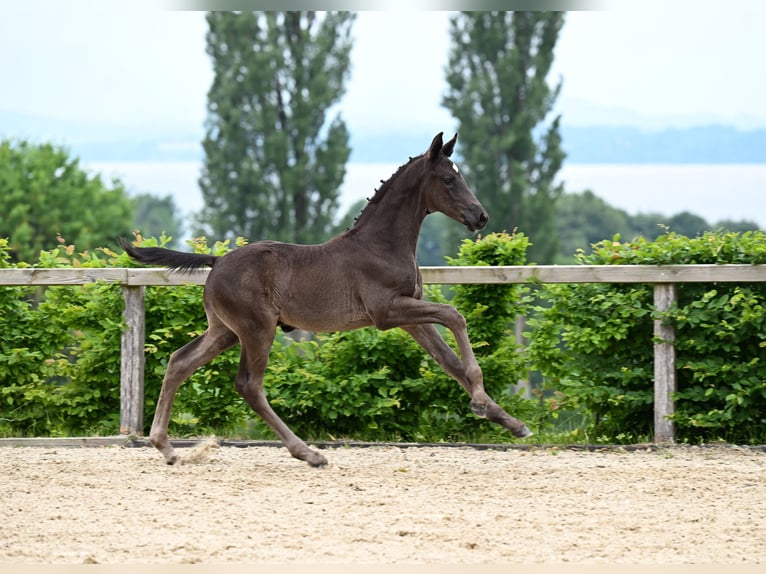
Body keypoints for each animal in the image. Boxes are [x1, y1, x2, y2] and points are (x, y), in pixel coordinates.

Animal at [121, 132, 532, 467]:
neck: (381, 245)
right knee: (249, 385)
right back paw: (308, 453)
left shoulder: (411, 319)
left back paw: (165, 446)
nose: (481, 216)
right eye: (448, 179)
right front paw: (479, 403)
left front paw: (511, 422)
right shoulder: (387, 311)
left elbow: (451, 362)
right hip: (256, 329)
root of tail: (218, 260)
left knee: (179, 362)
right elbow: (454, 315)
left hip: (224, 331)